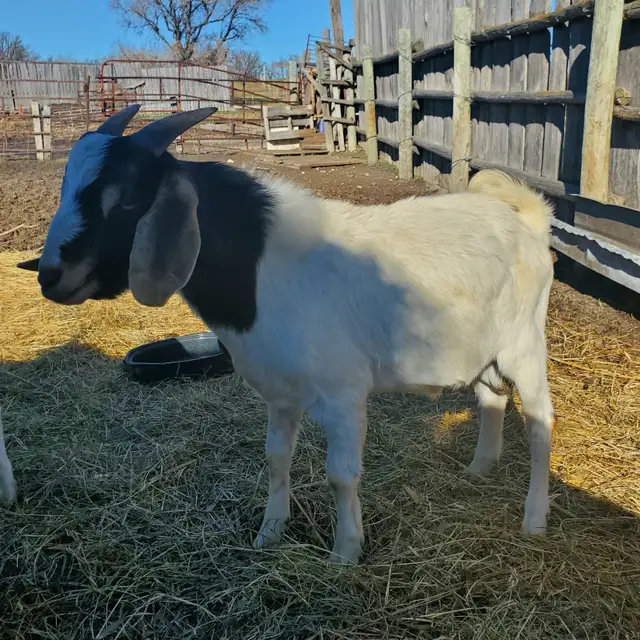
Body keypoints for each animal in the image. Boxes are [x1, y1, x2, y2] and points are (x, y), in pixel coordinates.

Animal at [22, 105, 556, 564]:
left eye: (128, 195)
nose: (50, 275)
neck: (263, 269)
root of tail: (527, 221)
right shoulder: (280, 393)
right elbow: (276, 459)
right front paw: (269, 534)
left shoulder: (343, 392)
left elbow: (341, 476)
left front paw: (344, 554)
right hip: (482, 349)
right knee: (491, 398)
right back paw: (479, 469)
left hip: (525, 344)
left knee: (539, 424)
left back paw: (534, 520)